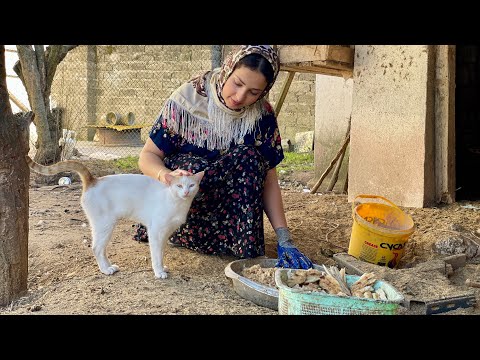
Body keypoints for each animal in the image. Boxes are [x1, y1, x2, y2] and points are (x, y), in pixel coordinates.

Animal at [25, 155, 204, 278]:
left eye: (191, 185)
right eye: (179, 186)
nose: (186, 192)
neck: (176, 203)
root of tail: (93, 180)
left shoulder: (165, 234)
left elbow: (161, 253)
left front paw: (163, 266)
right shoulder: (156, 233)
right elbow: (156, 254)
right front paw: (159, 271)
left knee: (100, 249)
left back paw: (108, 266)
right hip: (105, 226)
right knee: (96, 248)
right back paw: (106, 270)